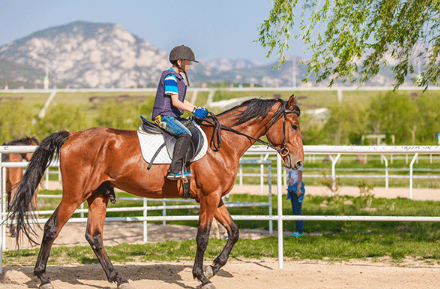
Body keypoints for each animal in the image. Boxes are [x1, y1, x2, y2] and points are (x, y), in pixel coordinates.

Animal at [8, 95, 302, 288]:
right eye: (294, 126)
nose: (298, 162)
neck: (223, 144)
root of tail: (72, 135)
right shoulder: (209, 198)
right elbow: (202, 237)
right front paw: (202, 276)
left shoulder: (216, 199)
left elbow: (234, 231)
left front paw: (214, 267)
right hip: (74, 195)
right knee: (51, 228)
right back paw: (43, 278)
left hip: (98, 195)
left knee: (94, 236)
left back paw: (117, 278)